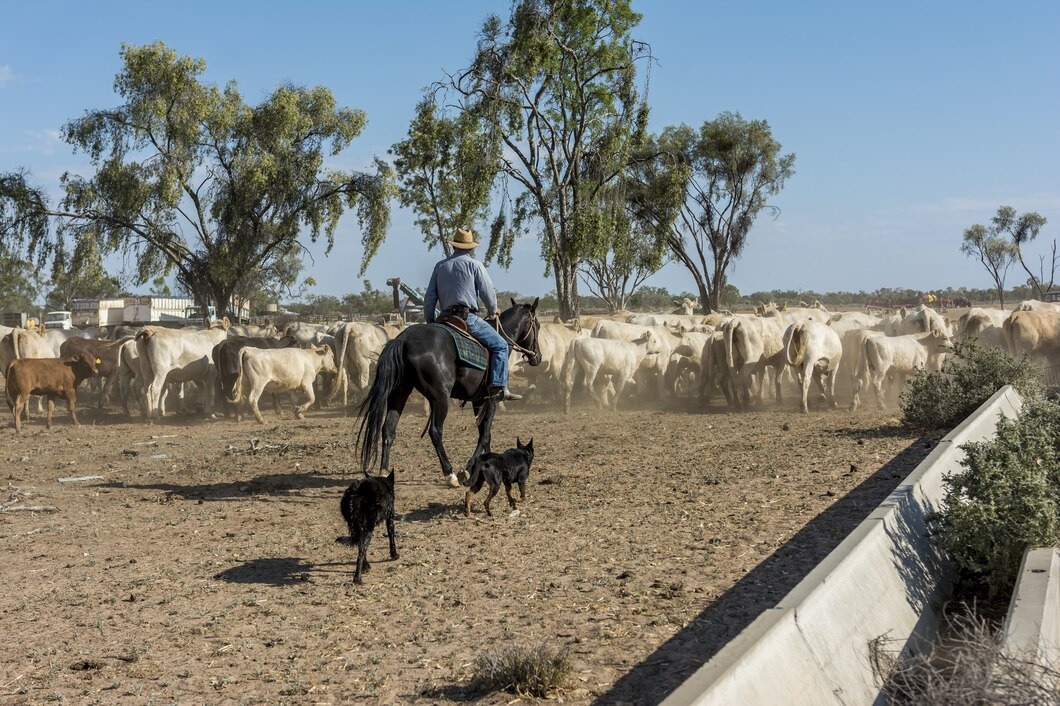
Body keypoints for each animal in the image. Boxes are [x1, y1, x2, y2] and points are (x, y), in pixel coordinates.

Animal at [356, 296, 542, 483]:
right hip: (440, 398)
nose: (538, 357)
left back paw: (384, 470)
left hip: (400, 392)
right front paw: (467, 468)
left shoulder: (479, 400)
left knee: (388, 429)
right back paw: (450, 473)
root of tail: (404, 339)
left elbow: (484, 433)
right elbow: (485, 434)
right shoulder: (492, 400)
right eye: (538, 326)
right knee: (435, 432)